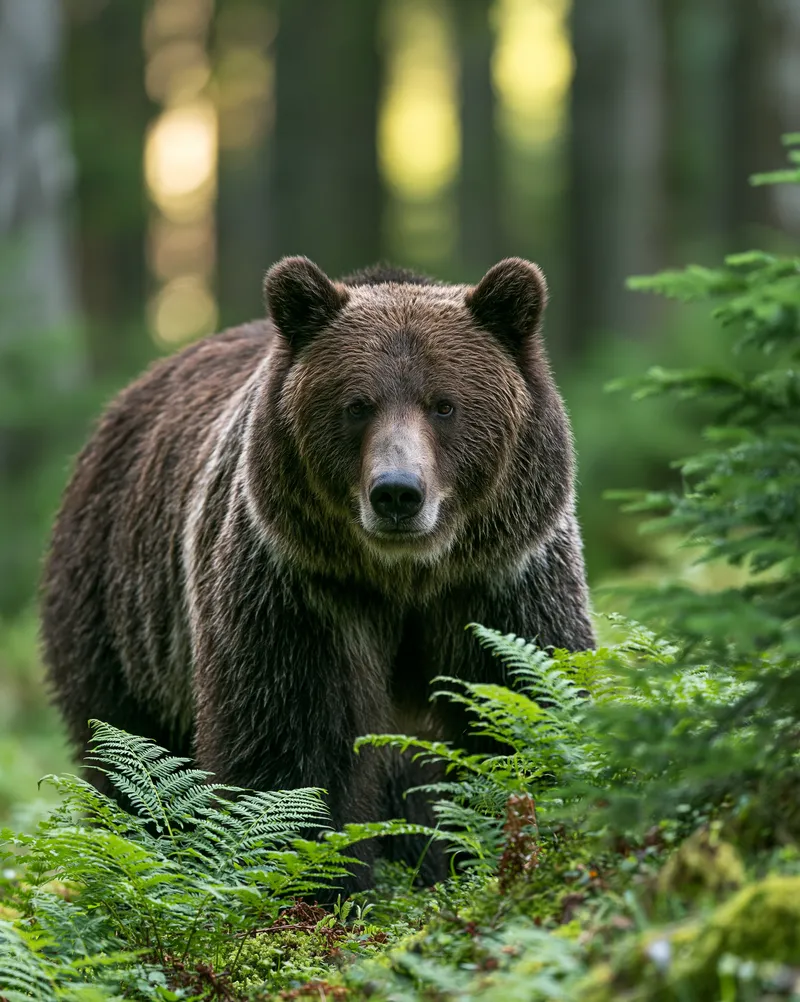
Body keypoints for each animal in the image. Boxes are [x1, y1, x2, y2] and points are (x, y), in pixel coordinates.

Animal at [41, 256, 594, 886]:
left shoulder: (502, 583)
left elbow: (518, 708)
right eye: (357, 404)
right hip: (122, 611)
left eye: (444, 404)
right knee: (127, 747)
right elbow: (291, 745)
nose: (397, 493)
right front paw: (317, 878)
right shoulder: (300, 589)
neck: (405, 578)